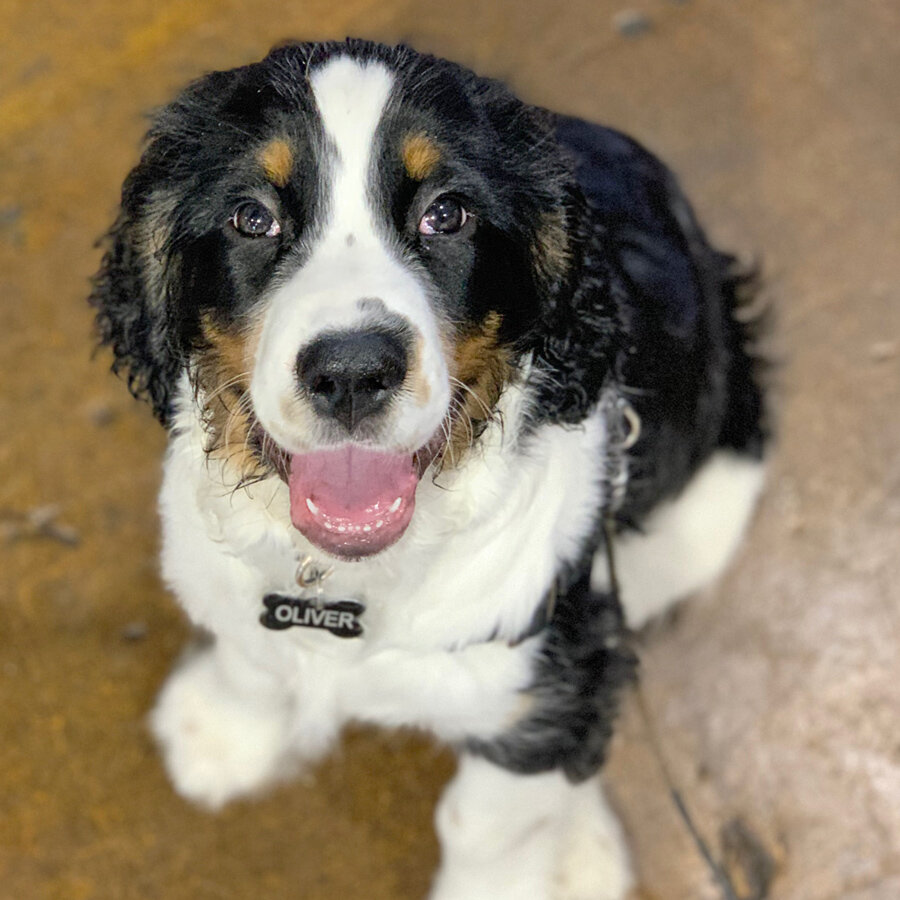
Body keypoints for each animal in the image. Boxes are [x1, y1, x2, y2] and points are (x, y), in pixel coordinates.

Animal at [89, 37, 768, 900]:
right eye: (252, 217)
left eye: (447, 214)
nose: (351, 373)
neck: (346, 582)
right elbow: (251, 651)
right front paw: (222, 732)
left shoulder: (537, 664)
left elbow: (491, 816)